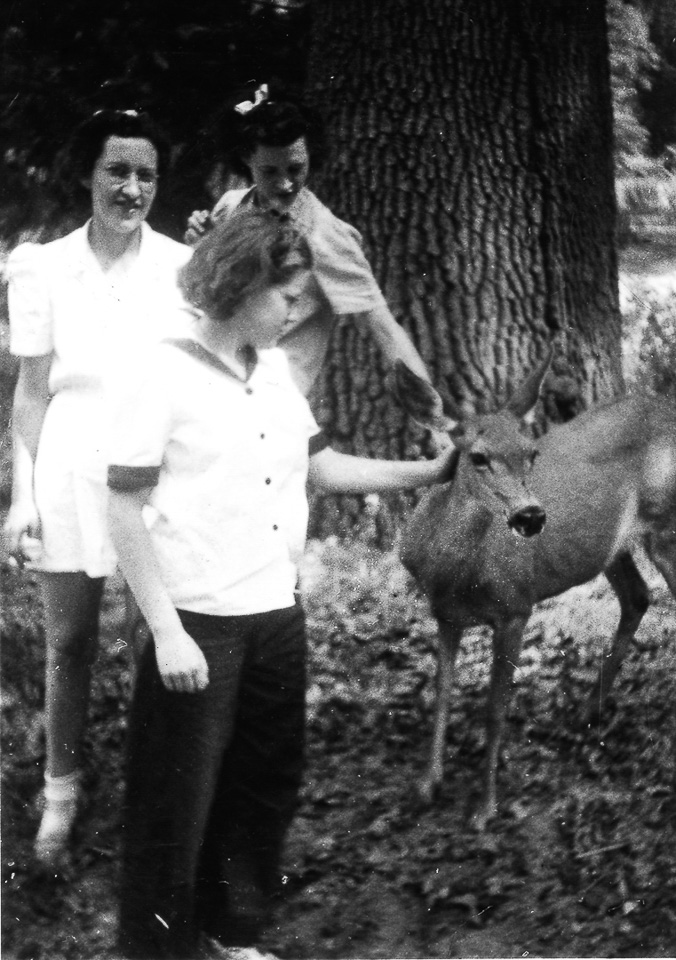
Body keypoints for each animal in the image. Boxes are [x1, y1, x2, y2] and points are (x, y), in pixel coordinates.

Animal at [395, 350, 676, 831]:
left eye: (531, 454)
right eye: (478, 456)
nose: (530, 515)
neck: (458, 573)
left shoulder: (516, 606)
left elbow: (494, 709)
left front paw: (484, 807)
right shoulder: (444, 613)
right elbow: (442, 694)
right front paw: (426, 785)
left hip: (666, 523)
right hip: (610, 547)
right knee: (638, 597)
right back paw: (588, 711)